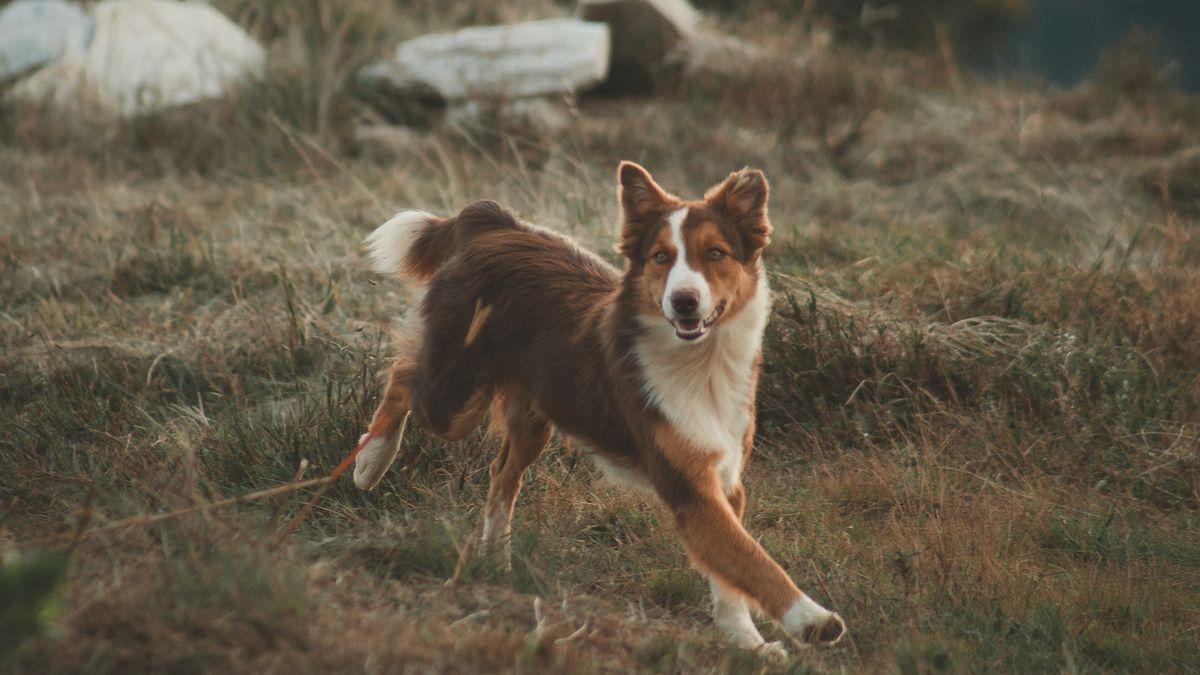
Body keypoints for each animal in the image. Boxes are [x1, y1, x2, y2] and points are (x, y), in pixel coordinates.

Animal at [350, 162, 849, 653]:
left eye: (716, 254)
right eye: (660, 257)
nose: (683, 301)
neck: (700, 363)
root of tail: (492, 224)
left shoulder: (724, 481)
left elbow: (731, 575)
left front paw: (745, 641)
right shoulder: (689, 486)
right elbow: (752, 560)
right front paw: (811, 619)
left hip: (534, 416)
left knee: (501, 473)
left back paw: (495, 559)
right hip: (453, 397)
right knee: (403, 377)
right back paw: (371, 462)